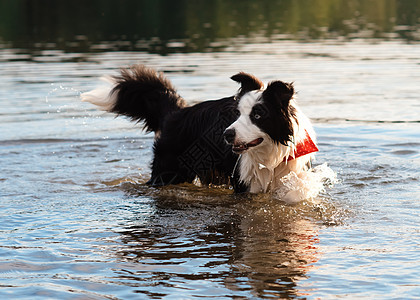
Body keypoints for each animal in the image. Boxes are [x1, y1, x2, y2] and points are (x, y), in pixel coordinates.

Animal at [81, 64, 318, 193]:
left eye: (257, 115)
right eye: (237, 114)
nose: (226, 134)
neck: (268, 155)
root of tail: (177, 111)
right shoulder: (244, 184)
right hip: (168, 171)